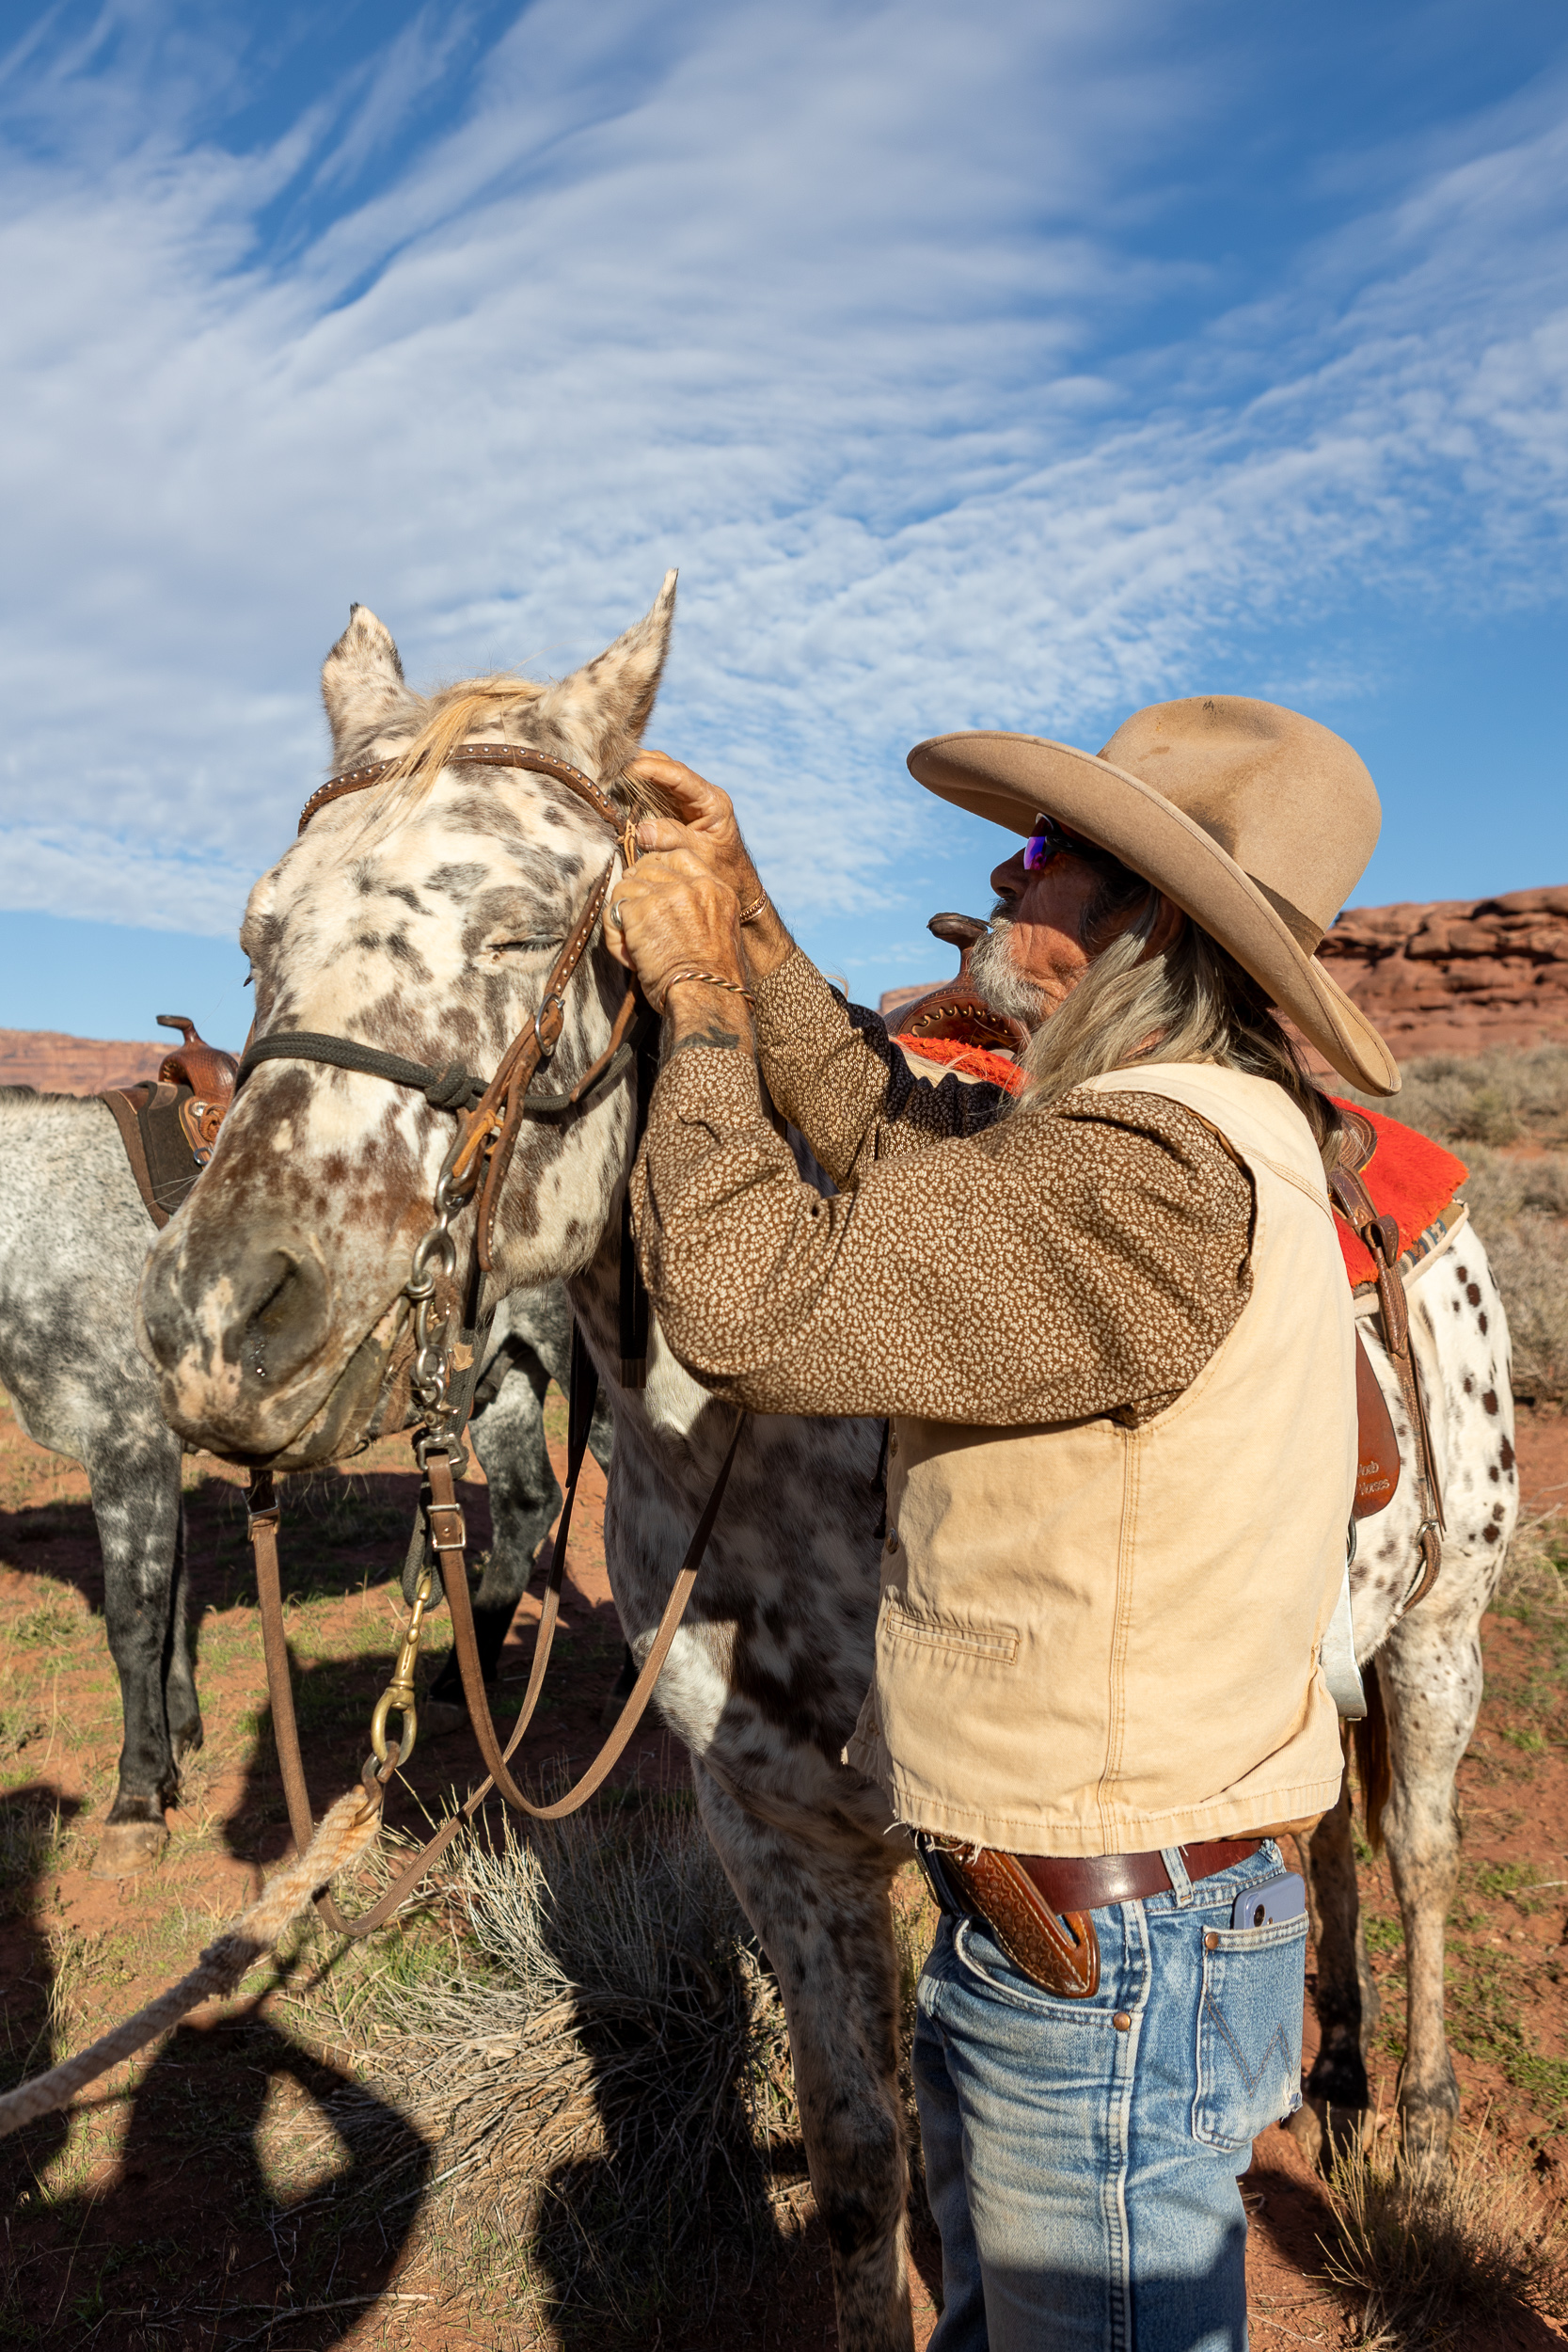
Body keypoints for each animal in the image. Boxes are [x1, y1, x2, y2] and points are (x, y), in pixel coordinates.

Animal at [0, 1081, 601, 1874]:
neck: (45, 1230)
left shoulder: (126, 1448)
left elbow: (134, 1625)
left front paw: (135, 1801)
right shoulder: (161, 1455)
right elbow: (174, 1603)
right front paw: (177, 1742)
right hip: (503, 1377)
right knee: (526, 1504)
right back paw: (450, 1689)